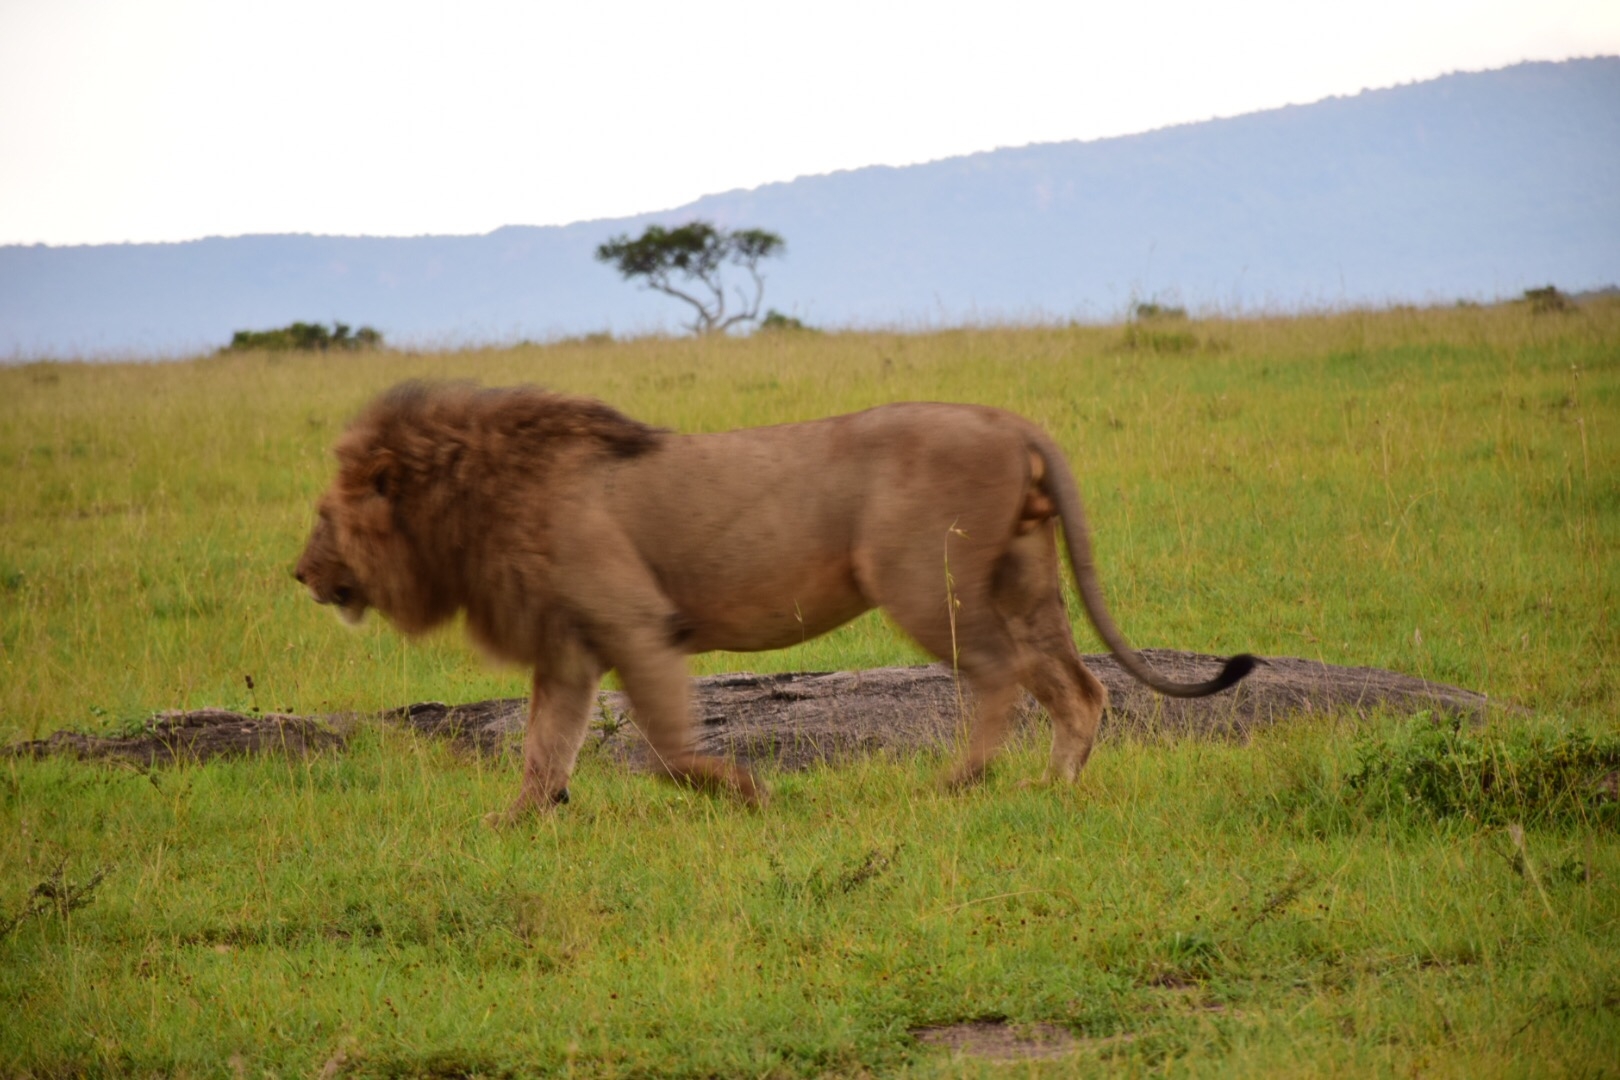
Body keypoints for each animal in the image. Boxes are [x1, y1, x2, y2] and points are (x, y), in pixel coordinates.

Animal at [294, 383, 1250, 822]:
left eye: (324, 516)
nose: (300, 576)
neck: (475, 502)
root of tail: (1007, 420)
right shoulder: (567, 650)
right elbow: (542, 749)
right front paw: (513, 824)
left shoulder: (637, 626)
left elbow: (670, 751)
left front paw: (749, 796)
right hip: (1024, 580)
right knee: (1078, 689)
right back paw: (1049, 788)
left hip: (922, 583)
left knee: (997, 678)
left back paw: (957, 783)